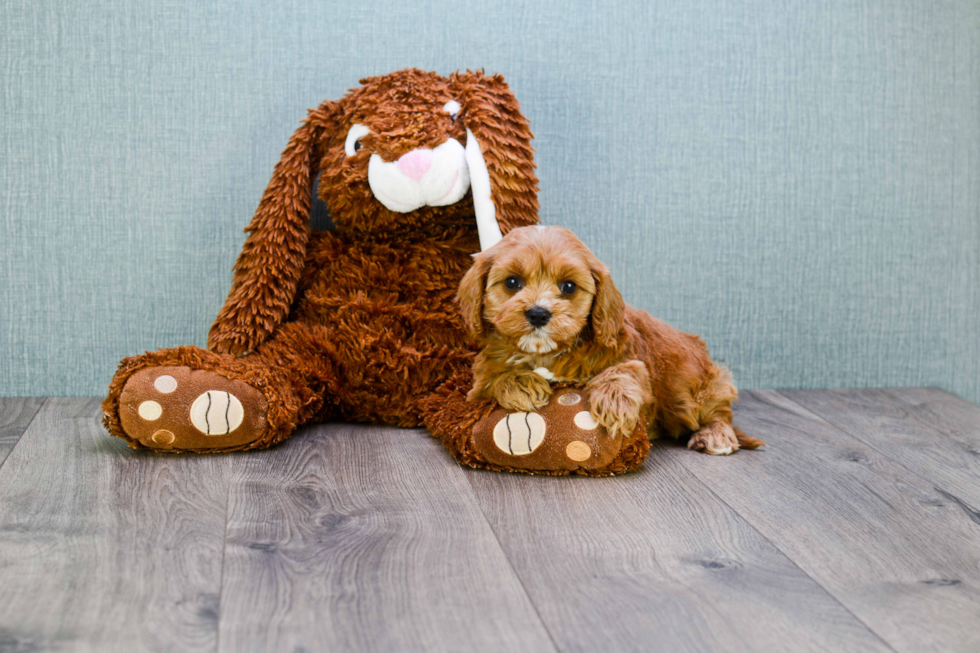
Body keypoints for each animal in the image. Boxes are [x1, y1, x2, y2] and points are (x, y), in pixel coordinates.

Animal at [456, 225, 760, 454]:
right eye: (512, 282)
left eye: (568, 286)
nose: (538, 313)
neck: (544, 353)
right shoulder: (477, 386)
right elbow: (493, 379)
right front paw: (521, 382)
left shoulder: (634, 361)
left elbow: (624, 372)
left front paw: (616, 404)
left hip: (698, 392)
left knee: (719, 412)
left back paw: (716, 435)